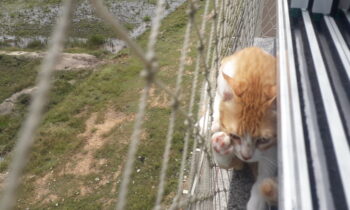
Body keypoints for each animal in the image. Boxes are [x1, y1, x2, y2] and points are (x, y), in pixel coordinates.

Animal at [209, 47, 278, 210]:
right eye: (234, 136)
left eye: (263, 139)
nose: (246, 156)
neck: (255, 78)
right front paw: (220, 144)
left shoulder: (272, 147)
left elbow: (265, 173)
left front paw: (258, 199)